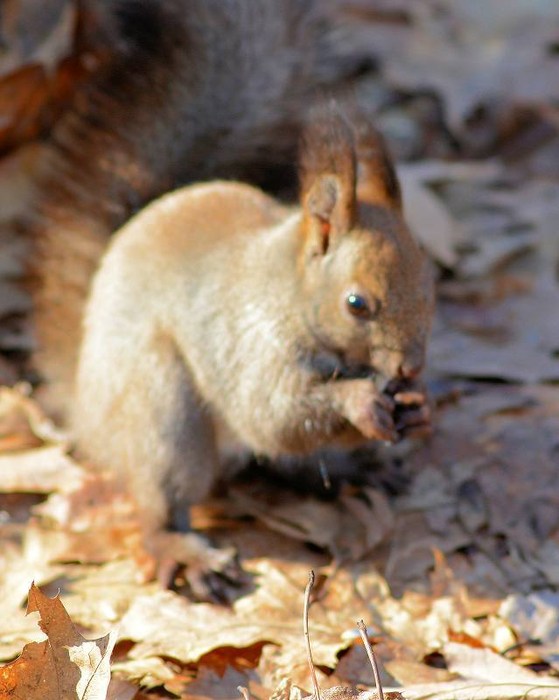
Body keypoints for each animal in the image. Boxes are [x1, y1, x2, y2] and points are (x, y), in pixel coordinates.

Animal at [72, 105, 436, 584]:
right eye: (356, 304)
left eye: (430, 283)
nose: (410, 367)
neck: (289, 293)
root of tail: (85, 417)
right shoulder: (253, 343)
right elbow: (270, 416)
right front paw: (359, 401)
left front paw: (418, 408)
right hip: (161, 406)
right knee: (165, 494)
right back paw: (183, 549)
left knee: (291, 462)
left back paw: (359, 468)